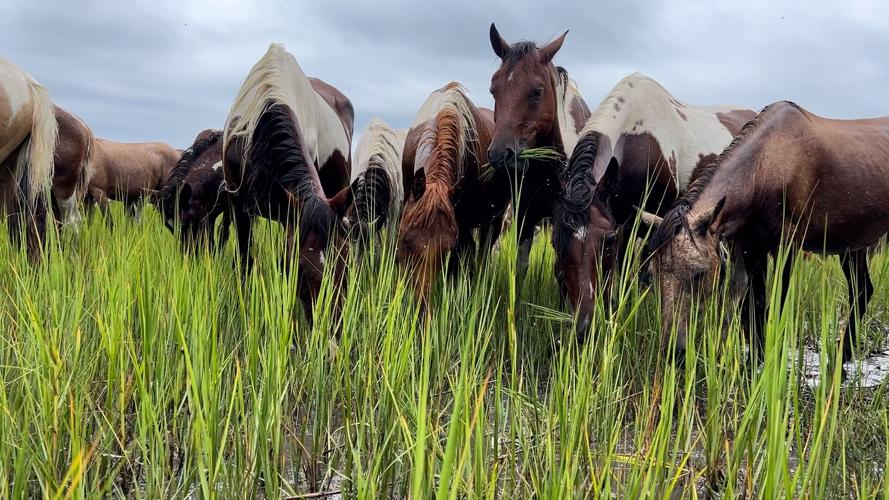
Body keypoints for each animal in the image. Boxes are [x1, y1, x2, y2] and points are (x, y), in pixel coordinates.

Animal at [641, 101, 889, 363]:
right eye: (652, 275)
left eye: (700, 273)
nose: (674, 352)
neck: (765, 167)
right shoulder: (752, 247)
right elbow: (756, 302)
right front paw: (756, 359)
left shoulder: (785, 248)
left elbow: (778, 304)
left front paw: (773, 359)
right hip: (852, 246)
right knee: (862, 291)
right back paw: (843, 354)